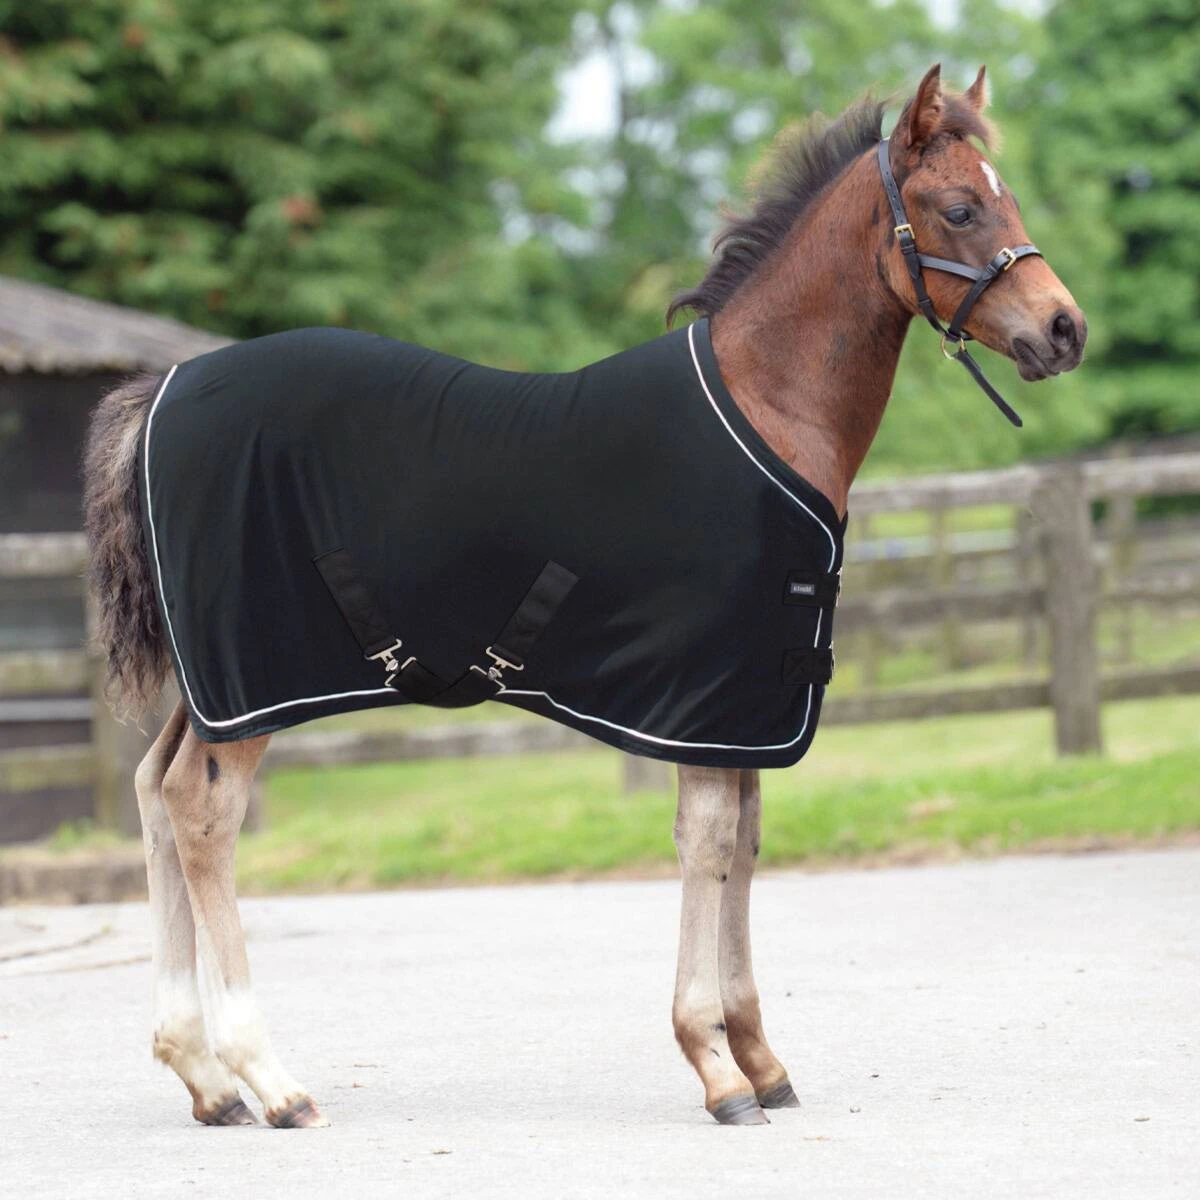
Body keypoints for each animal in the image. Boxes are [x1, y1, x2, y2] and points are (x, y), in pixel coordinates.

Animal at [82, 64, 1086, 1129]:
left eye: (1010, 197)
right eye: (960, 207)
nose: (1065, 329)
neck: (766, 406)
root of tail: (162, 392)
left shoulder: (745, 706)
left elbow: (744, 842)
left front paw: (760, 1057)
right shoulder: (705, 695)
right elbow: (708, 842)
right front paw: (715, 1065)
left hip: (213, 686)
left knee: (153, 792)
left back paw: (202, 1076)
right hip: (252, 682)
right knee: (201, 812)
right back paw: (269, 1080)